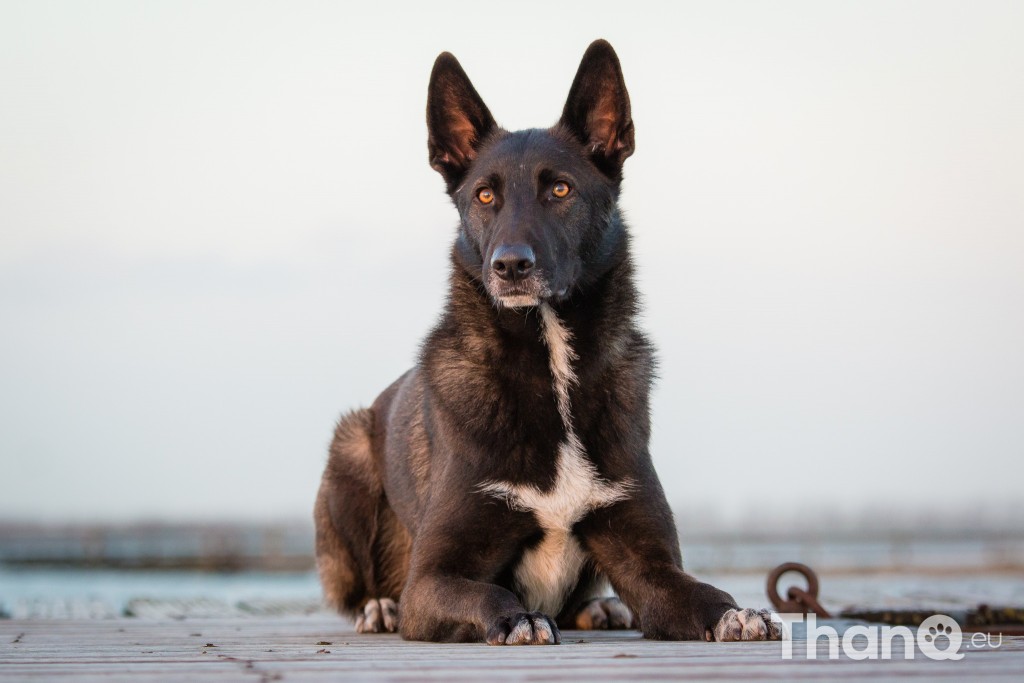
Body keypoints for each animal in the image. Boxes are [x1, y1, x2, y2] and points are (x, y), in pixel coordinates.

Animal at [311, 40, 774, 643]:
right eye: (485, 195)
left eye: (560, 189)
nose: (510, 266)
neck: (550, 364)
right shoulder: (432, 579)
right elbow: (485, 590)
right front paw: (516, 618)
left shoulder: (649, 563)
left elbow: (697, 592)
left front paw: (734, 612)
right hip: (348, 456)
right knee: (363, 586)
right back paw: (378, 608)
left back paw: (602, 608)